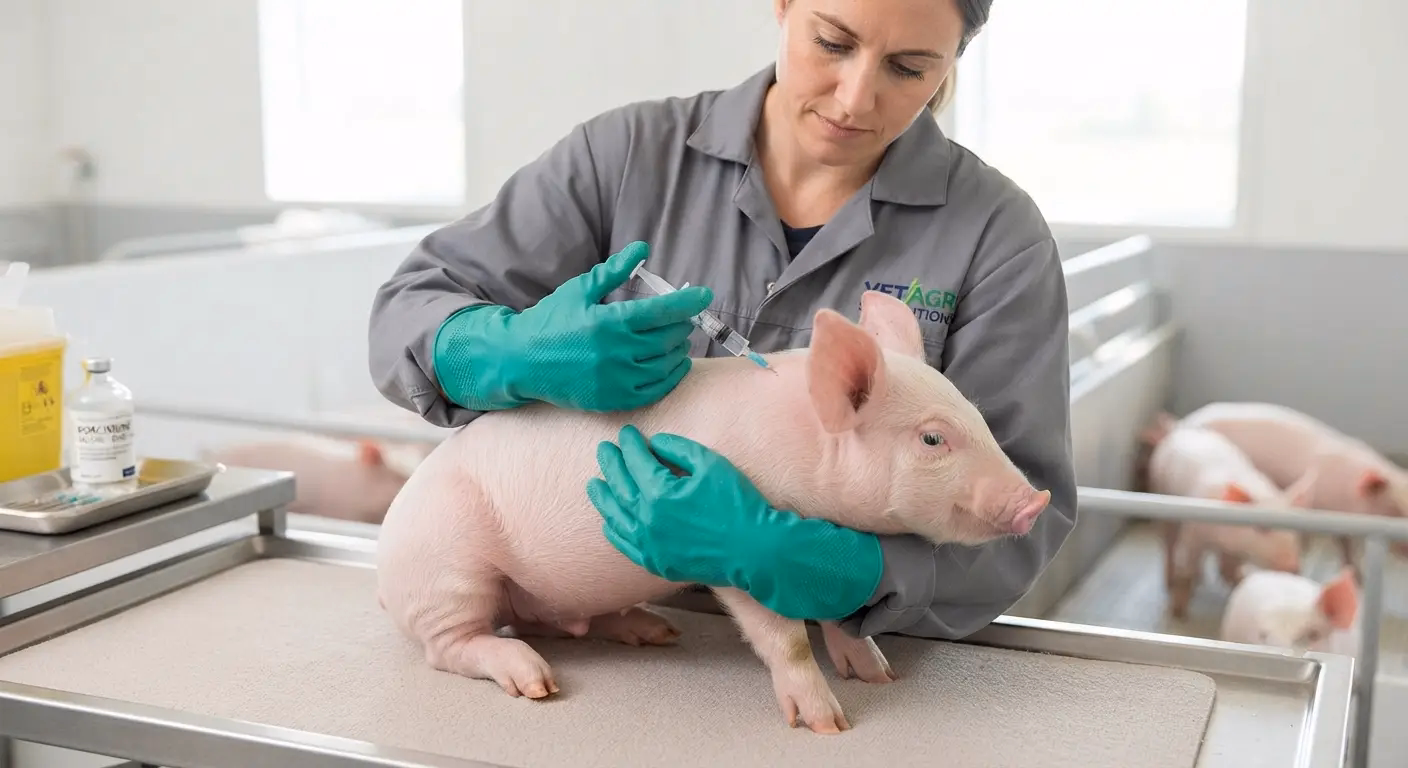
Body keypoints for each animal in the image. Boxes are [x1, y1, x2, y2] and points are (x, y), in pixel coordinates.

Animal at [375, 289, 1052, 734]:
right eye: (933, 439)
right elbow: (785, 636)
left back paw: (652, 631)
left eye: (977, 416)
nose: (1037, 501)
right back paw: (537, 683)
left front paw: (878, 675)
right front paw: (829, 725)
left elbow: (840, 615)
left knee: (557, 621)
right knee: (452, 645)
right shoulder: (733, 563)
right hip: (449, 569)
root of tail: (385, 567)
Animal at [1140, 415, 1313, 618]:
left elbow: (1231, 565)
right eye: (1262, 527)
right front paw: (1178, 611)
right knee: (1169, 544)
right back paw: (1171, 581)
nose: (1294, 567)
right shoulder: (1194, 532)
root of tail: (1177, 430)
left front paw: (1239, 580)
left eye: (1295, 530)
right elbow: (1187, 565)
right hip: (1160, 491)